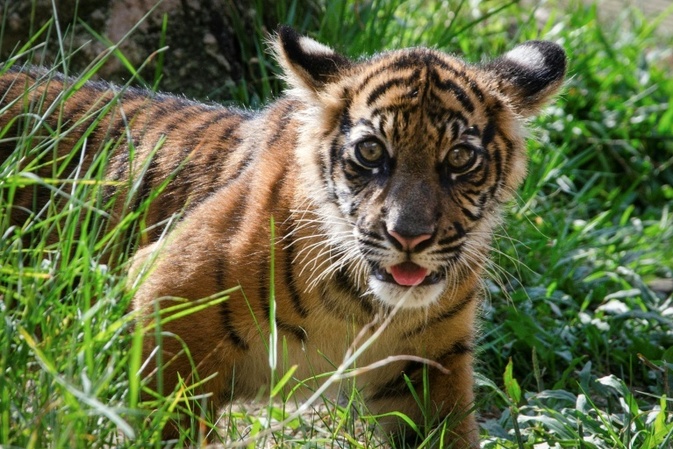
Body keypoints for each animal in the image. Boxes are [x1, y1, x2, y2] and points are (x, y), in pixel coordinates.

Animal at [0, 26, 566, 447]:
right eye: (371, 153)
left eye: (460, 159)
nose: (409, 237)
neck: (360, 308)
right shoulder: (165, 301)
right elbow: (165, 424)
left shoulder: (430, 368)